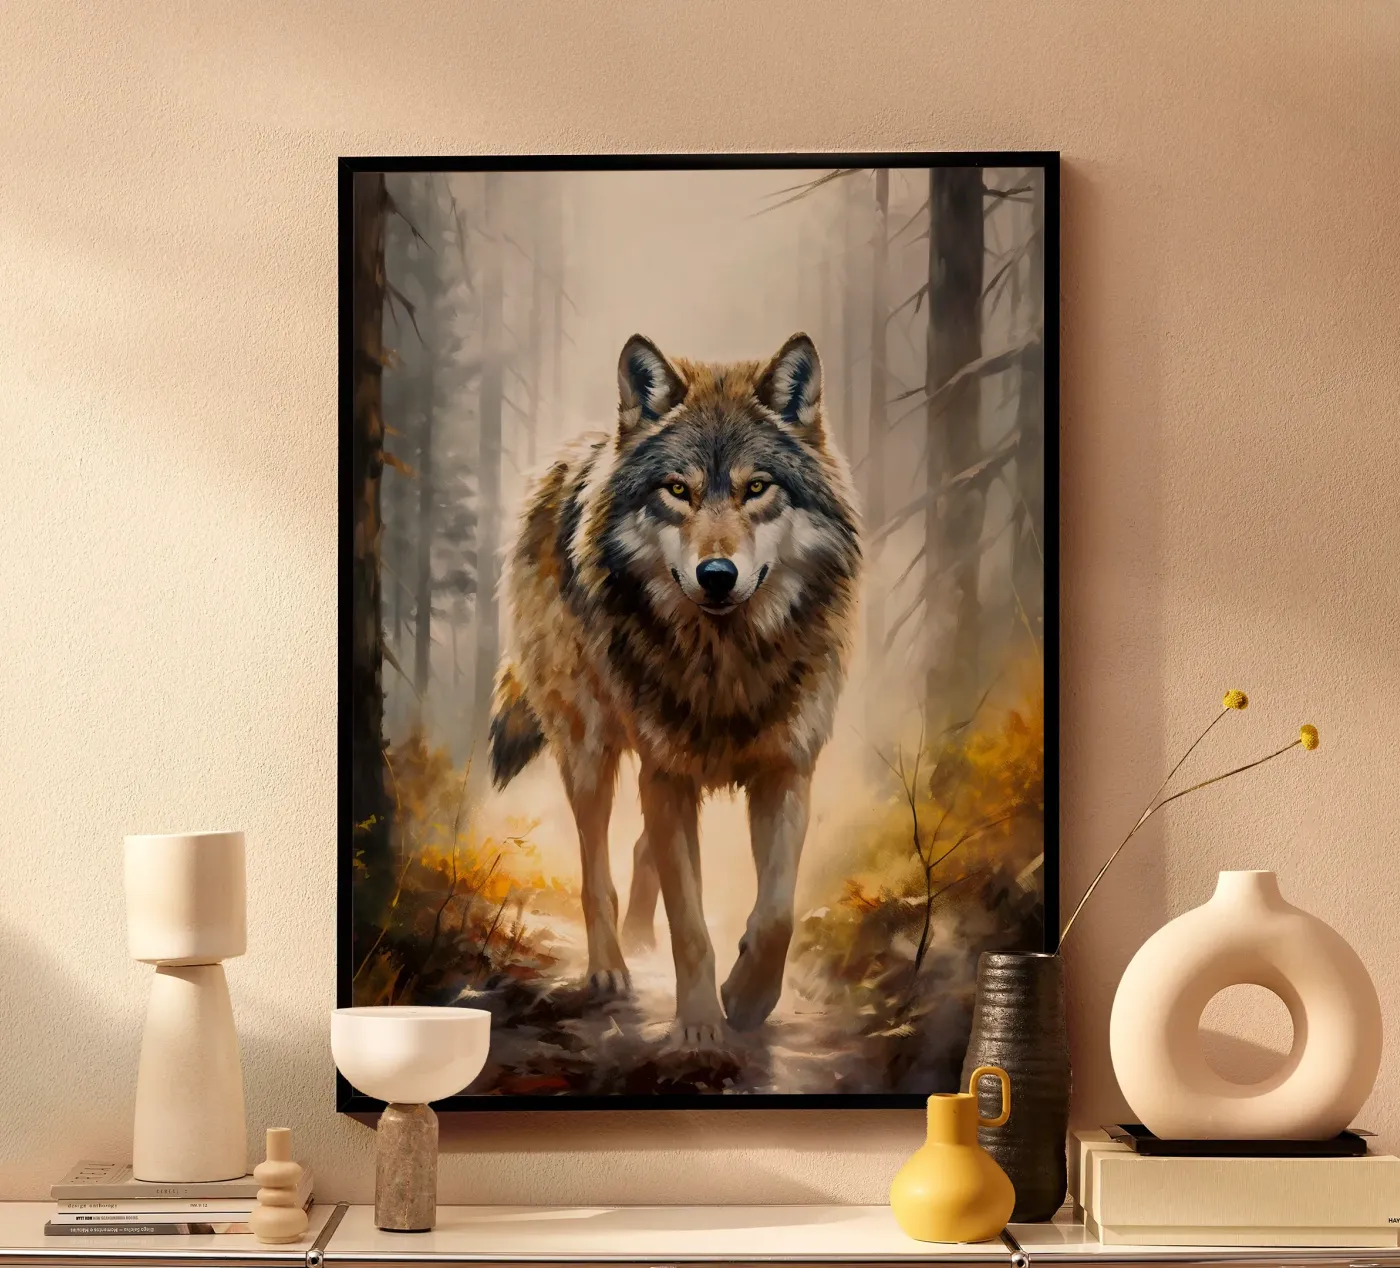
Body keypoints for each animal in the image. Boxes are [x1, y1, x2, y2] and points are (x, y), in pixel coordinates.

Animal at [488, 332, 861, 1043]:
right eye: (678, 490)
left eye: (756, 487)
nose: (716, 574)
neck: (726, 663)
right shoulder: (666, 774)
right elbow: (689, 923)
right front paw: (699, 1027)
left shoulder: (785, 769)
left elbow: (776, 916)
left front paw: (746, 998)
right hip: (590, 750)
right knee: (597, 871)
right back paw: (611, 968)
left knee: (642, 851)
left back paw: (639, 940)